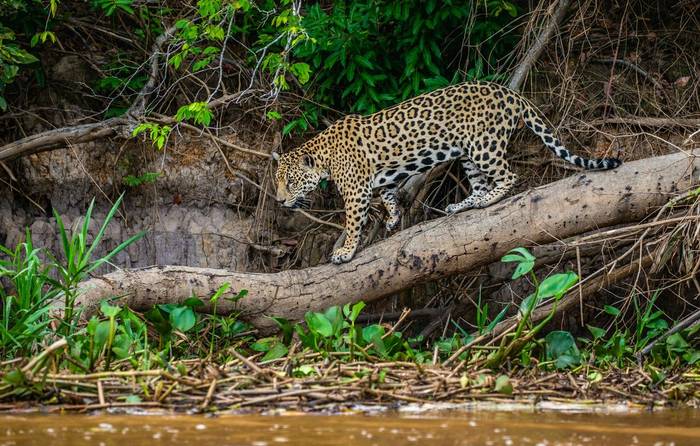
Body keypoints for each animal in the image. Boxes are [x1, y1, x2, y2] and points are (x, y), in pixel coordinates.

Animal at [272, 81, 621, 264]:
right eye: (278, 182)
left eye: (290, 181)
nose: (278, 201)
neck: (324, 156)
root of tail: (508, 92)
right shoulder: (385, 177)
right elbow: (388, 195)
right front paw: (393, 218)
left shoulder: (356, 192)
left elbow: (353, 222)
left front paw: (346, 251)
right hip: (467, 154)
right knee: (480, 184)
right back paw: (463, 205)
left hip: (484, 145)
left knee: (507, 176)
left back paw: (486, 201)